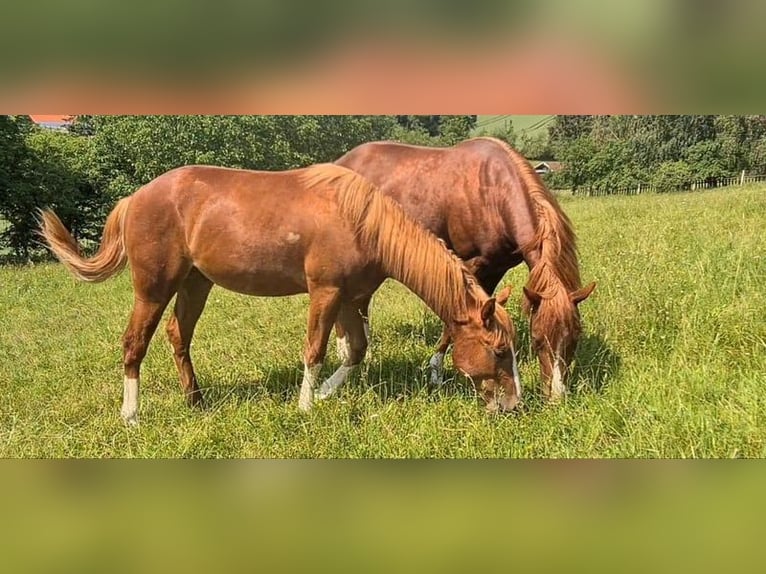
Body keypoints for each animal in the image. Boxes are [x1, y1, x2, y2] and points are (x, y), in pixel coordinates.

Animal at [39, 163, 522, 425]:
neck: (362, 222)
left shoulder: (349, 299)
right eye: (499, 352)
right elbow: (315, 349)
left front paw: (325, 394)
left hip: (196, 283)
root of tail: (134, 198)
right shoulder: (325, 293)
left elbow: (355, 350)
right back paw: (132, 416)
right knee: (134, 344)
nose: (514, 406)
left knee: (179, 335)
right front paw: (307, 405)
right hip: (153, 289)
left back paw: (195, 401)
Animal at [336, 137, 596, 400]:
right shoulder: (472, 265)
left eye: (575, 338)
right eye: (537, 339)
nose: (557, 397)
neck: (494, 192)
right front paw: (436, 372)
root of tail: (342, 162)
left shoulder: (496, 268)